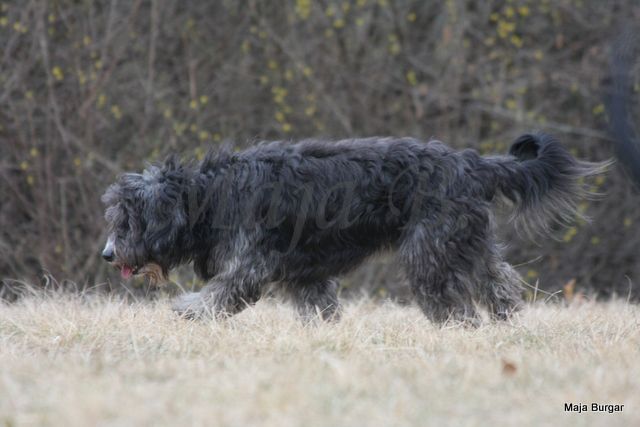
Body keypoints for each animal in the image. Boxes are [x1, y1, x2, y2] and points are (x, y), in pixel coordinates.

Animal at [101, 133, 604, 324]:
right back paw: (507, 323)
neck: (211, 194)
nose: (107, 254)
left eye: (128, 219)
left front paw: (188, 310)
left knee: (454, 301)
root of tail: (471, 163)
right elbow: (318, 308)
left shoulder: (252, 263)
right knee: (499, 281)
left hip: (430, 252)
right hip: (466, 241)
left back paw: (459, 329)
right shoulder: (306, 274)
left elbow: (222, 293)